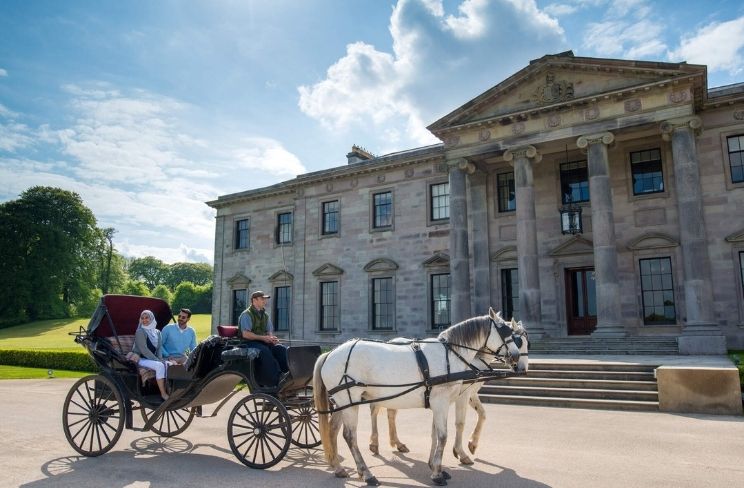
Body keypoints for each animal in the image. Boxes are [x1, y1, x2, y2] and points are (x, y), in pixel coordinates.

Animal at [314, 308, 528, 484]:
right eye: (507, 333)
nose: (519, 361)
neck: (452, 354)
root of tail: (330, 353)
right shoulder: (444, 401)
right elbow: (444, 435)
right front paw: (439, 472)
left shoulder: (439, 402)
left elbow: (436, 433)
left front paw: (435, 465)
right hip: (349, 400)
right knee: (349, 436)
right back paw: (366, 472)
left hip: (345, 401)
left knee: (332, 430)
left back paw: (338, 466)